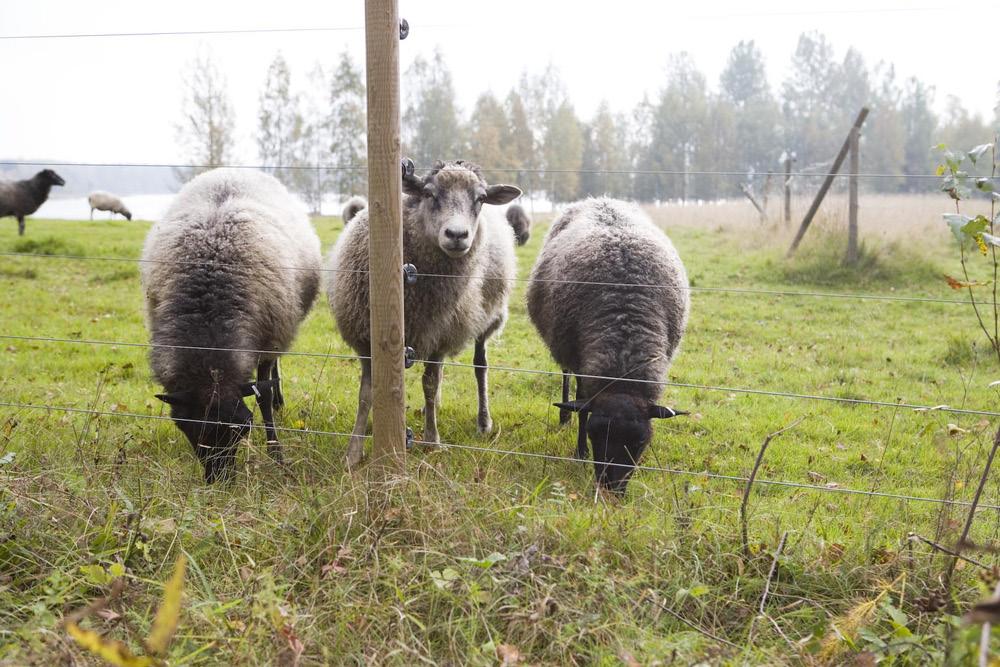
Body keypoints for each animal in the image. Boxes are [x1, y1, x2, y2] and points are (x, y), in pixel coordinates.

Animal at [141, 166, 318, 480]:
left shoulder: (269, 338)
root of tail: (233, 170)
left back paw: (279, 401)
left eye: (242, 428)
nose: (219, 480)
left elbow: (263, 394)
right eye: (187, 428)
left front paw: (276, 454)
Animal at [332, 159, 528, 468]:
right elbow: (366, 394)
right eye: (428, 193)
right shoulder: (367, 339)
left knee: (480, 366)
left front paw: (432, 440)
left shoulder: (440, 336)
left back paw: (482, 421)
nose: (457, 235)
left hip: (484, 320)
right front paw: (353, 452)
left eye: (480, 199)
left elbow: (430, 384)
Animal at [528, 196, 692, 494]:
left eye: (641, 442)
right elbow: (581, 404)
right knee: (566, 377)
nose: (610, 490)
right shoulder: (582, 364)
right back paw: (564, 416)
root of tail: (600, 199)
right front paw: (580, 452)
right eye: (594, 435)